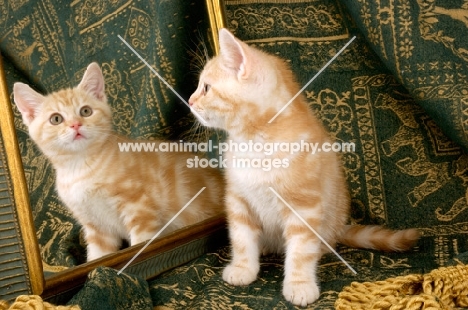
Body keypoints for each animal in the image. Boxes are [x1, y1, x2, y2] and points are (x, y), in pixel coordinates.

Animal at [14, 62, 225, 262]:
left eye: (85, 111)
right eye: (56, 119)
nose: (75, 125)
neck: (81, 167)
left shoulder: (140, 209)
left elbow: (140, 244)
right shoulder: (97, 228)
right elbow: (98, 258)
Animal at [188, 28, 418, 306]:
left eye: (206, 88)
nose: (189, 101)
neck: (255, 142)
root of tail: (338, 230)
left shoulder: (304, 206)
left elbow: (300, 250)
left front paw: (299, 284)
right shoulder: (238, 198)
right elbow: (241, 238)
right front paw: (243, 268)